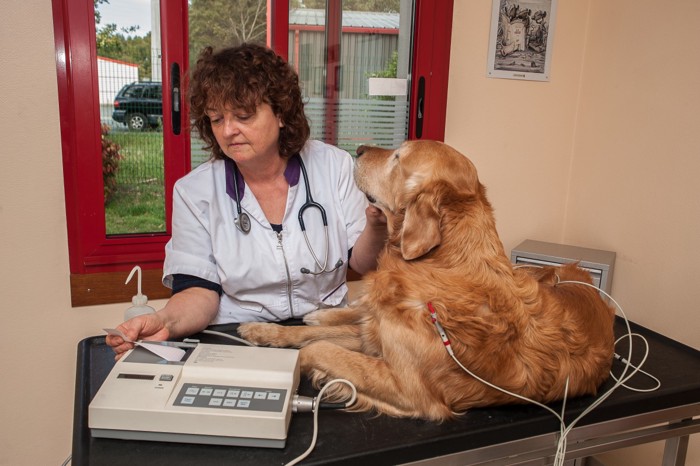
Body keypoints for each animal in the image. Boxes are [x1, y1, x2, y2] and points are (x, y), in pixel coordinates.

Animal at [238, 140, 616, 420]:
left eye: (397, 157)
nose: (358, 149)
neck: (442, 262)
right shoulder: (376, 338)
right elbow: (308, 336)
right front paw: (264, 331)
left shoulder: (408, 386)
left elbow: (317, 348)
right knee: (352, 313)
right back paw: (320, 313)